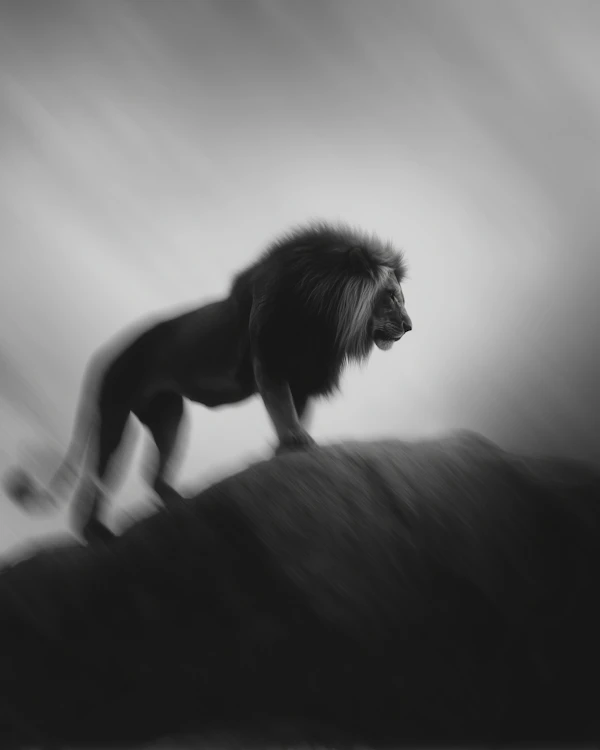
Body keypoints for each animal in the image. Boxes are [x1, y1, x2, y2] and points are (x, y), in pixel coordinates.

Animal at [3, 220, 412, 544]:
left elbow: (296, 413)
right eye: (391, 297)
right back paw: (96, 532)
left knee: (154, 477)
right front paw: (296, 442)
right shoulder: (270, 360)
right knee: (97, 478)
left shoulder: (306, 379)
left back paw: (179, 503)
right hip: (115, 411)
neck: (325, 318)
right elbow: (282, 408)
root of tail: (105, 356)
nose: (409, 326)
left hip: (168, 413)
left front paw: (286, 449)